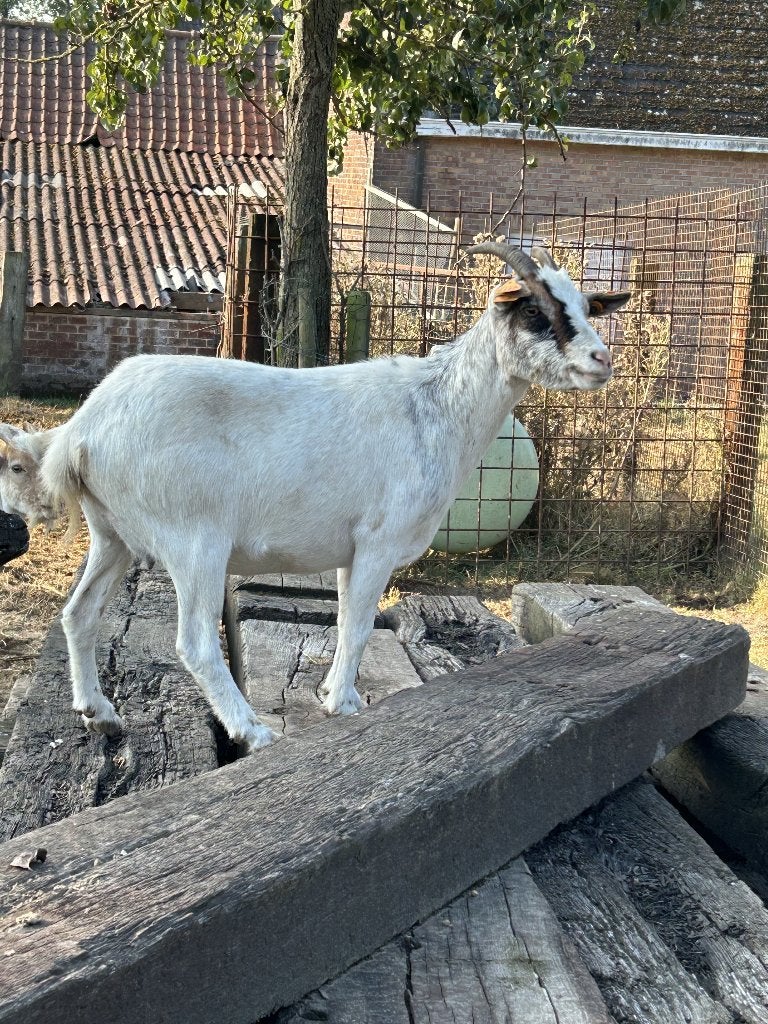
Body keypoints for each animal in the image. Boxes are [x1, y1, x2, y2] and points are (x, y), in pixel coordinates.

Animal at [11, 244, 629, 751]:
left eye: (585, 307)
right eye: (536, 313)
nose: (602, 360)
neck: (435, 408)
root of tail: (83, 429)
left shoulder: (349, 551)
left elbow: (344, 618)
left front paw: (337, 694)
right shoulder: (378, 542)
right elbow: (357, 626)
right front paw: (345, 706)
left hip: (111, 534)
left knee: (79, 613)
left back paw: (99, 714)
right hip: (193, 540)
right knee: (194, 643)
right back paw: (253, 731)